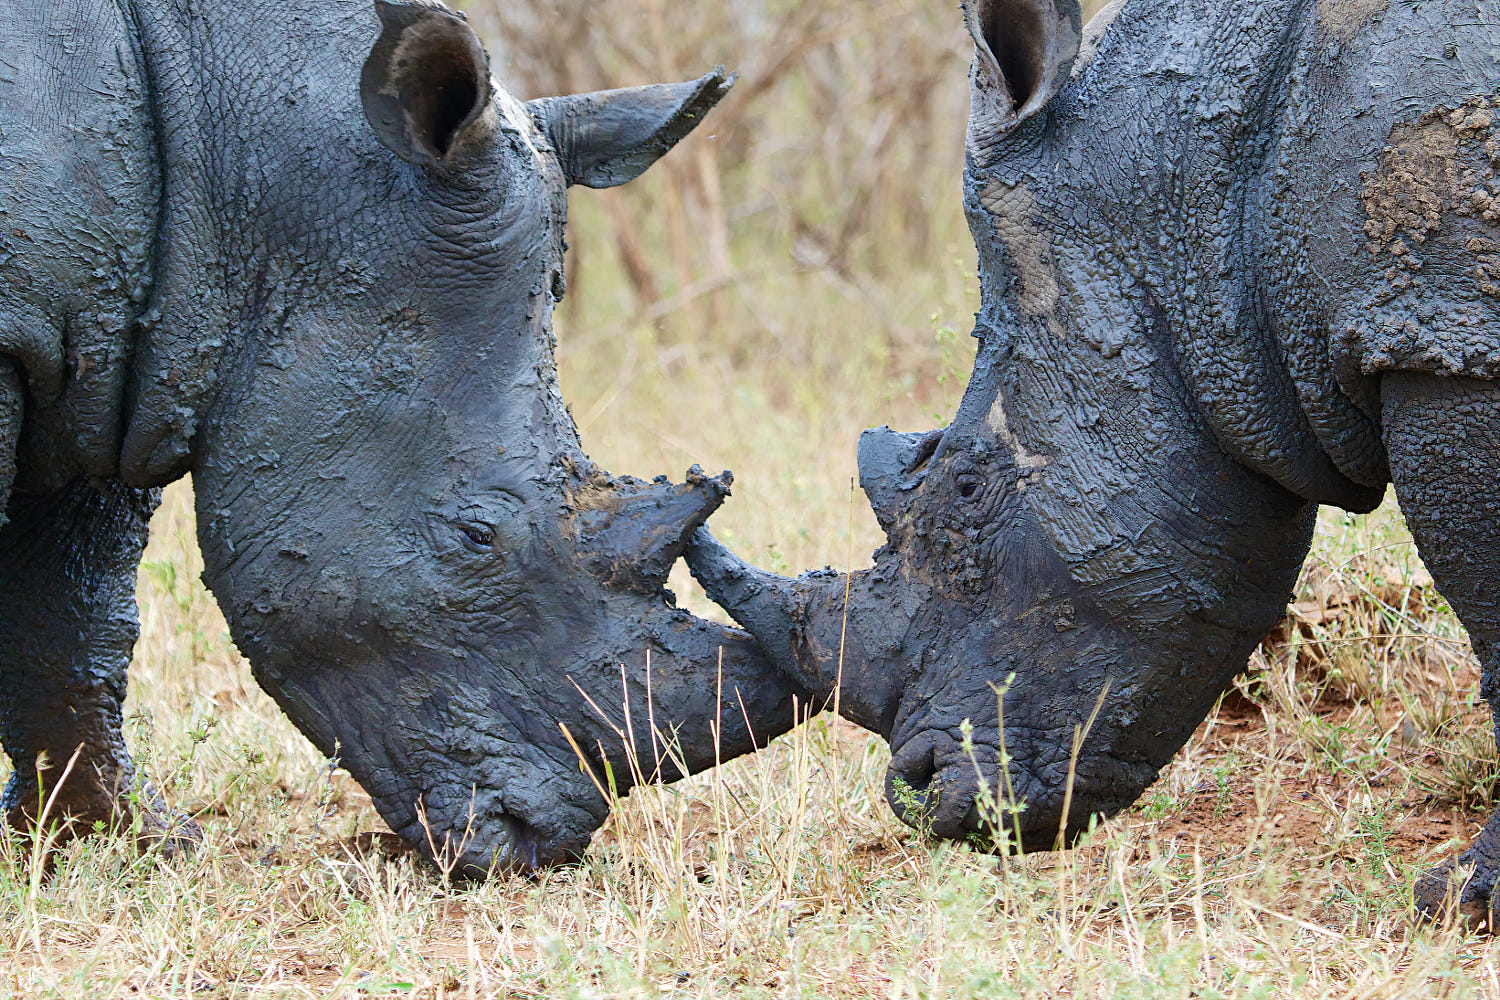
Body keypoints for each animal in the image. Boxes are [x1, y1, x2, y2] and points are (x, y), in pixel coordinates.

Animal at [2, 0, 810, 875]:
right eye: (473, 537)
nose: (542, 844)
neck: (233, 182)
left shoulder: (114, 359)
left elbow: (76, 618)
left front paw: (112, 845)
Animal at [687, 0, 1500, 923]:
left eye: (966, 487)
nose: (918, 790)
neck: (1202, 191)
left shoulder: (1442, 342)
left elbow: (1492, 613)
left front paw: (1462, 898)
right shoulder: (1435, 325)